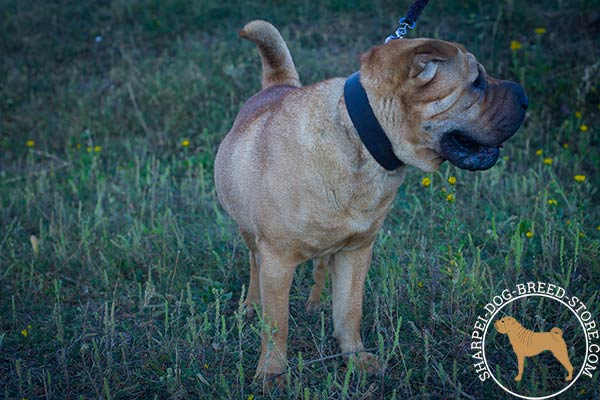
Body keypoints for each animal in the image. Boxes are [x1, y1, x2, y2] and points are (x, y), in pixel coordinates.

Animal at [213, 20, 528, 390]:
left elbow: (350, 309)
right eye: (476, 82)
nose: (524, 96)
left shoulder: (357, 250)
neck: (361, 142)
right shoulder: (277, 259)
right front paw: (273, 374)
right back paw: (250, 307)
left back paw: (316, 303)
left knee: (321, 266)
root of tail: (278, 85)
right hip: (249, 233)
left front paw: (355, 358)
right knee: (254, 264)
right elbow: (278, 325)